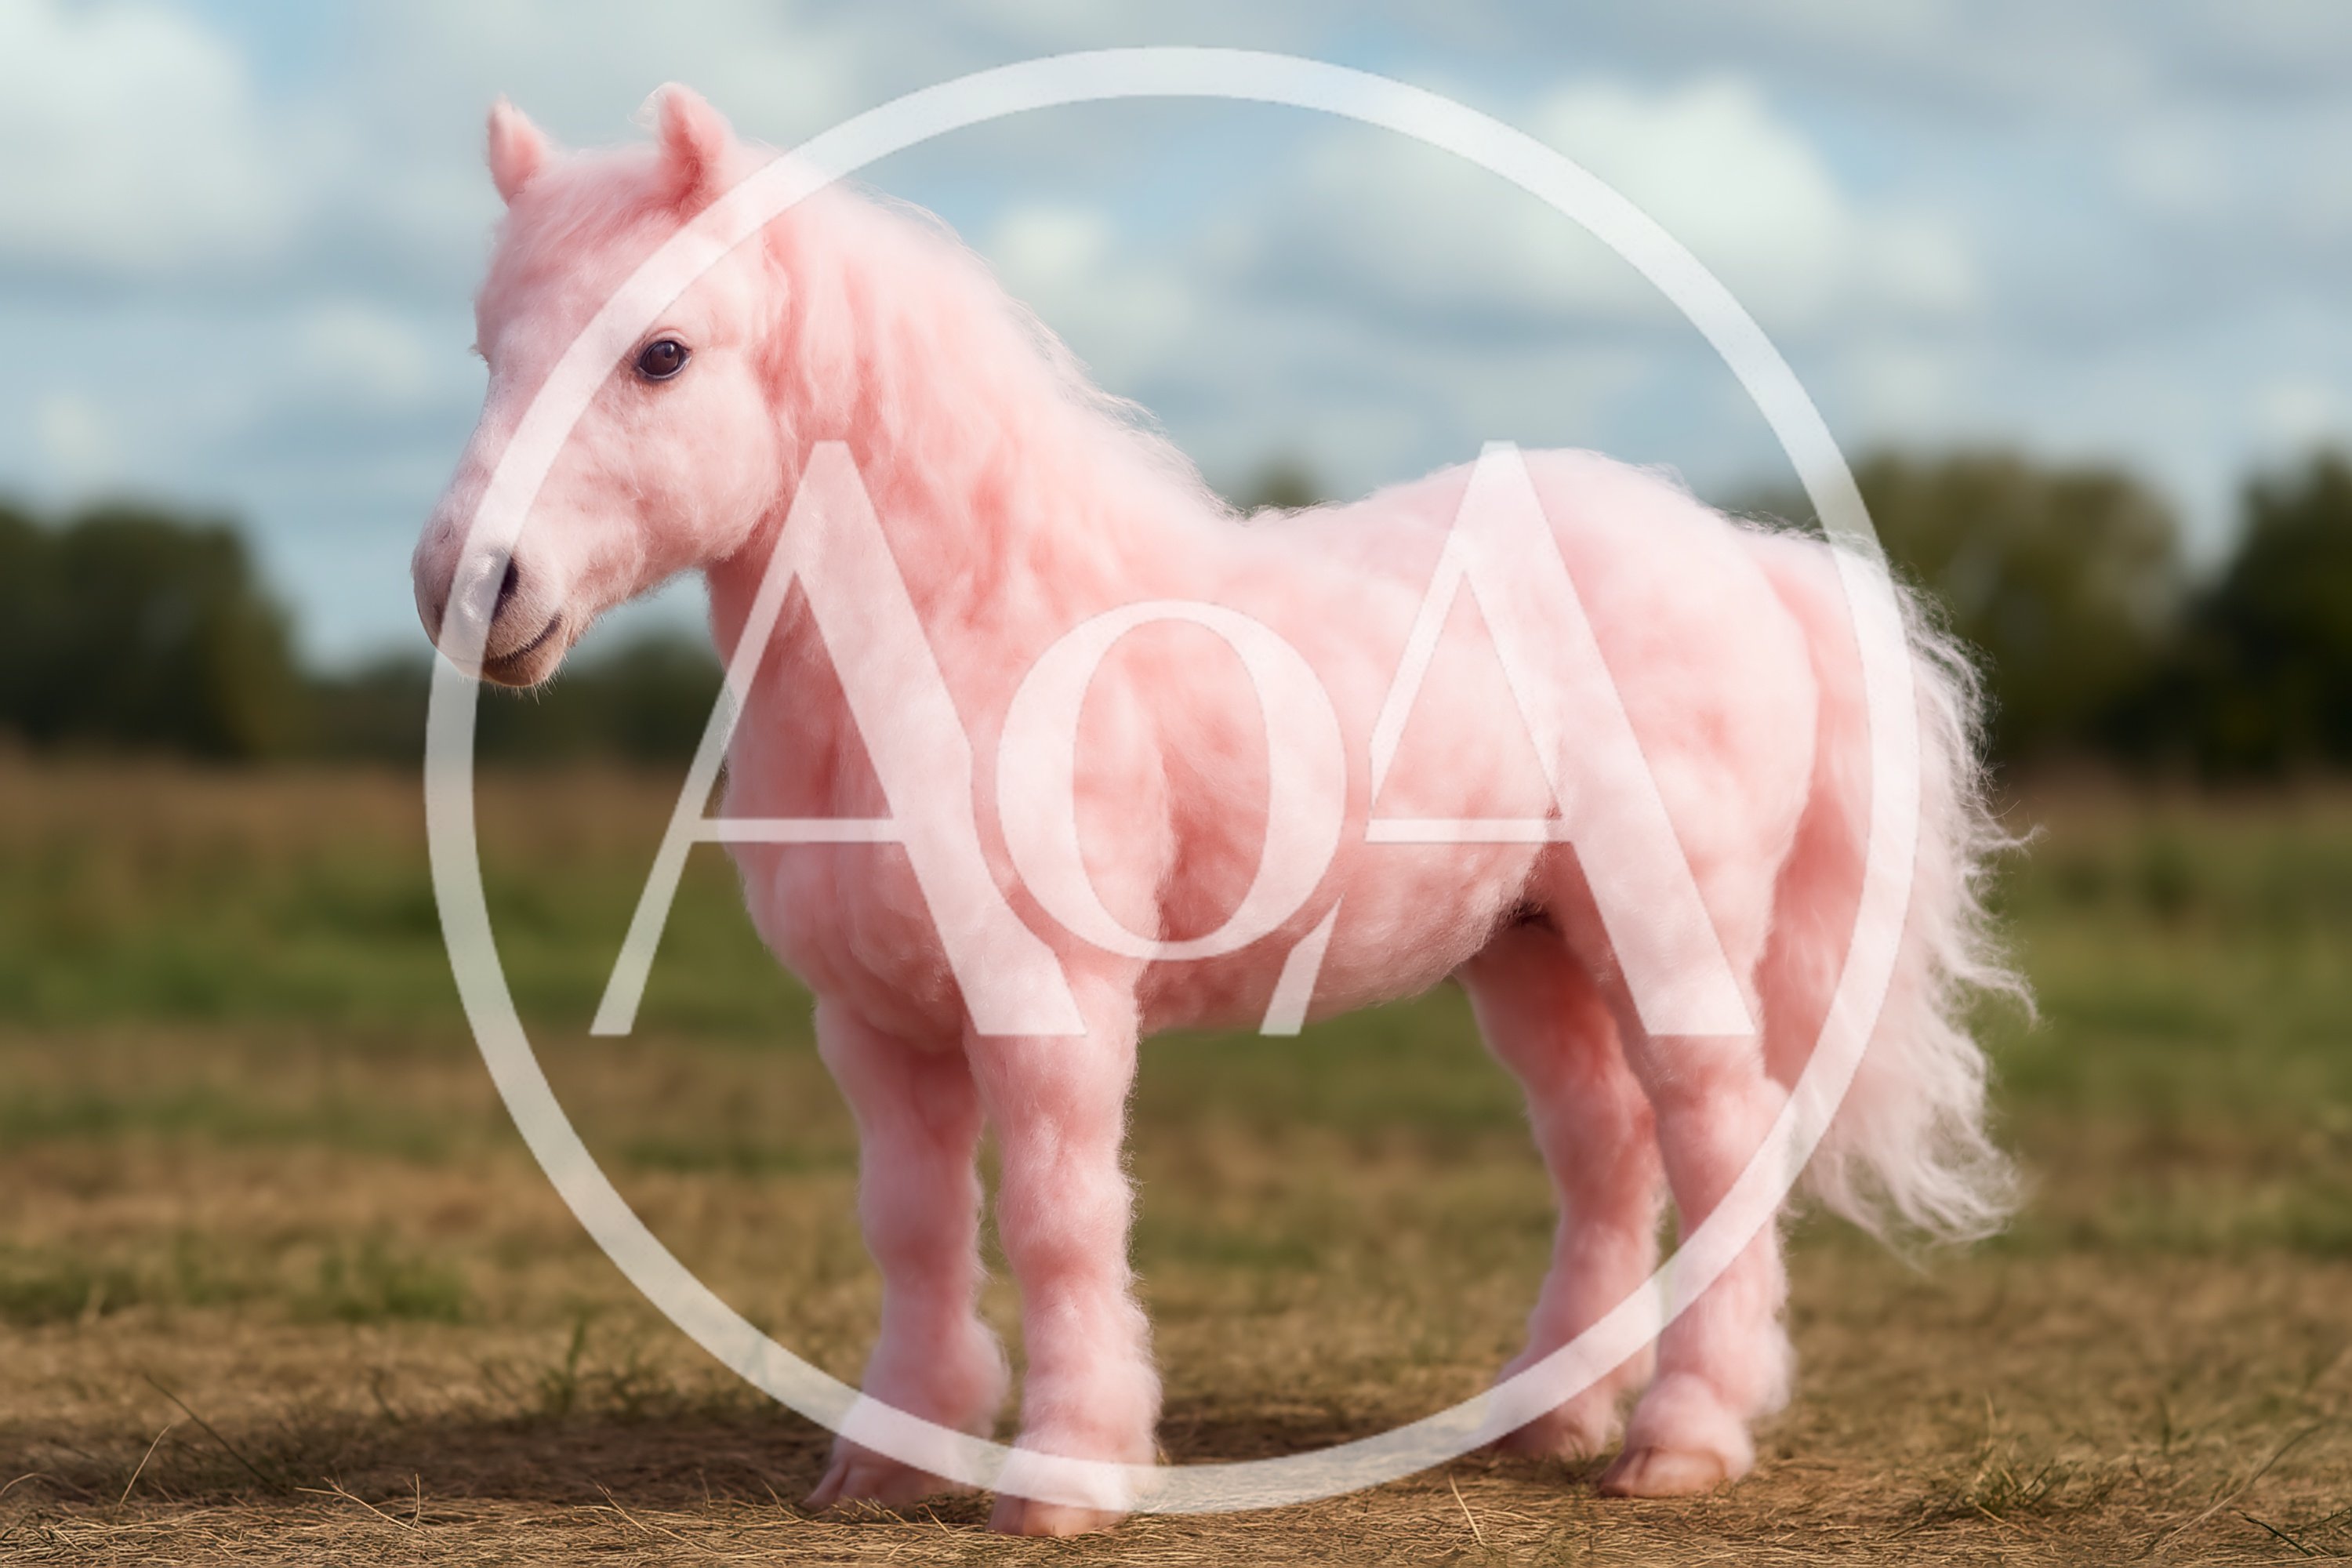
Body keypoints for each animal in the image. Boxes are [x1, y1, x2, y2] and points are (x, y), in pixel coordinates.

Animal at [411, 86, 2016, 1536]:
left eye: (662, 354)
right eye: (491, 349)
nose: (467, 589)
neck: (972, 636)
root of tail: (1748, 558)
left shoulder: (1052, 1008)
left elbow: (1060, 1223)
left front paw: (1067, 1478)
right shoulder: (874, 1025)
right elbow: (915, 1228)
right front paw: (894, 1458)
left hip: (1667, 944)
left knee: (1717, 1141)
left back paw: (1682, 1439)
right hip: (1530, 952)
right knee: (1604, 1155)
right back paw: (1548, 1423)